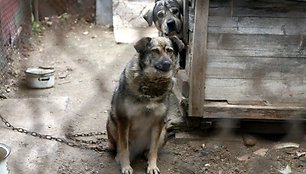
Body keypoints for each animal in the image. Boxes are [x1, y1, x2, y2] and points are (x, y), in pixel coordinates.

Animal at [106, 36, 185, 173]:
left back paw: (146, 154)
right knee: (117, 147)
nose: (168, 63)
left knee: (150, 149)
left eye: (170, 51)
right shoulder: (124, 120)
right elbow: (124, 148)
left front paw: (152, 166)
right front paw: (126, 166)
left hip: (162, 132)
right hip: (111, 123)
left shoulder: (158, 121)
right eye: (155, 51)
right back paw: (118, 156)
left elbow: (154, 150)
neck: (152, 83)